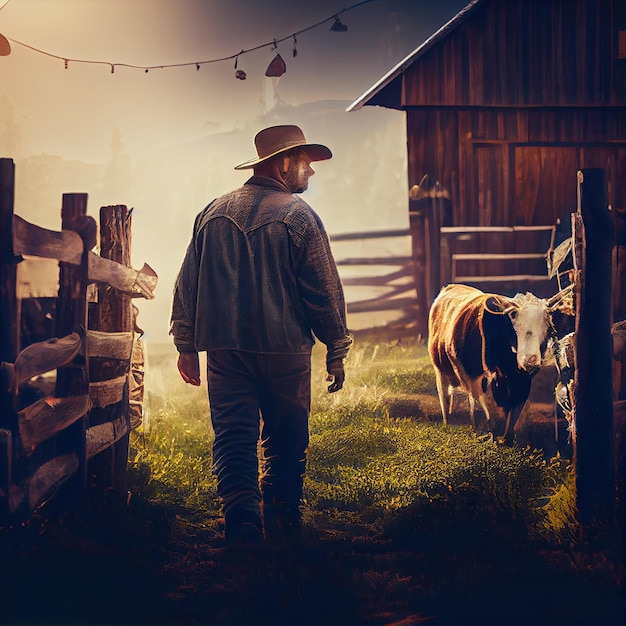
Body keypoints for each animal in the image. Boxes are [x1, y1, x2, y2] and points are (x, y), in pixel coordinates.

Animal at [426, 282, 552, 444]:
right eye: (513, 319)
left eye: (545, 329)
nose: (531, 360)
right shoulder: (474, 377)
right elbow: (488, 411)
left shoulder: (522, 382)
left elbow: (513, 413)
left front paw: (507, 440)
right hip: (440, 370)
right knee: (446, 397)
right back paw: (449, 422)